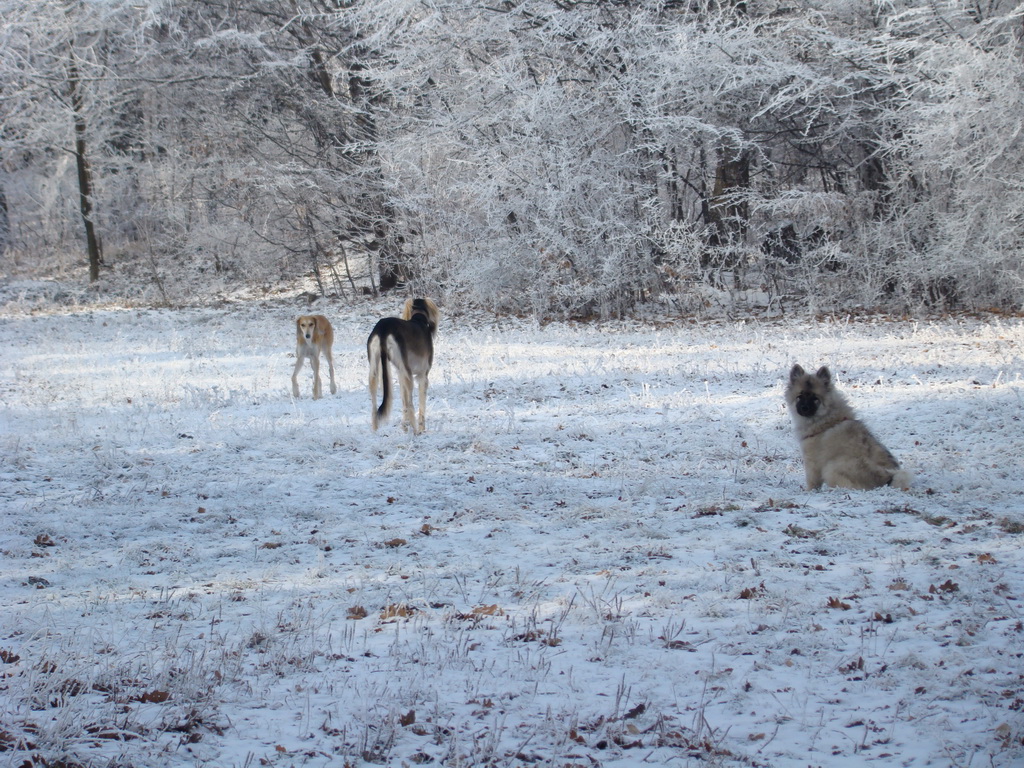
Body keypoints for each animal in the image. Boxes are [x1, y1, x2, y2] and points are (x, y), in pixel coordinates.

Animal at [366, 299, 438, 434]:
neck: (418, 319)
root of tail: (383, 328)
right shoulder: (423, 376)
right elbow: (420, 405)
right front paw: (421, 428)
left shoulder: (400, 374)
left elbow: (403, 402)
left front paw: (404, 427)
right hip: (408, 373)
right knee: (410, 405)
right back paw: (416, 431)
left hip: (375, 366)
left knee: (374, 404)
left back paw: (375, 430)